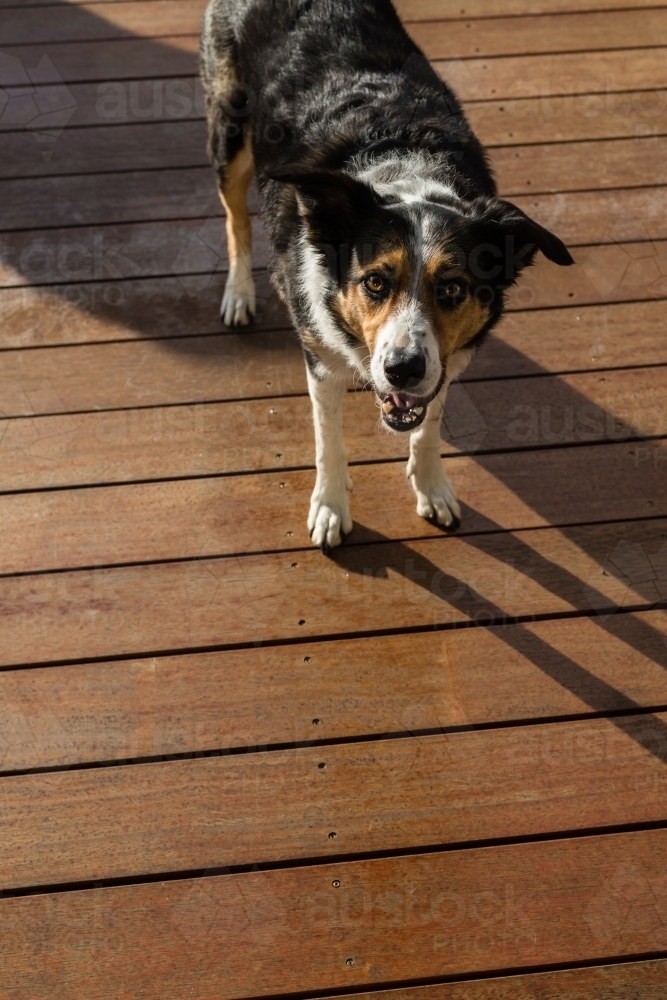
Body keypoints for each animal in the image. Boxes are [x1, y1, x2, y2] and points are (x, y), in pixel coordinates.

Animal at [200, 0, 576, 548]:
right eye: (375, 282)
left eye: (453, 288)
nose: (403, 369)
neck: (405, 173)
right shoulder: (320, 357)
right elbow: (329, 441)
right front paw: (330, 506)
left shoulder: (445, 360)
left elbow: (430, 422)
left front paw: (432, 484)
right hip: (228, 132)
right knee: (234, 218)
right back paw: (239, 292)